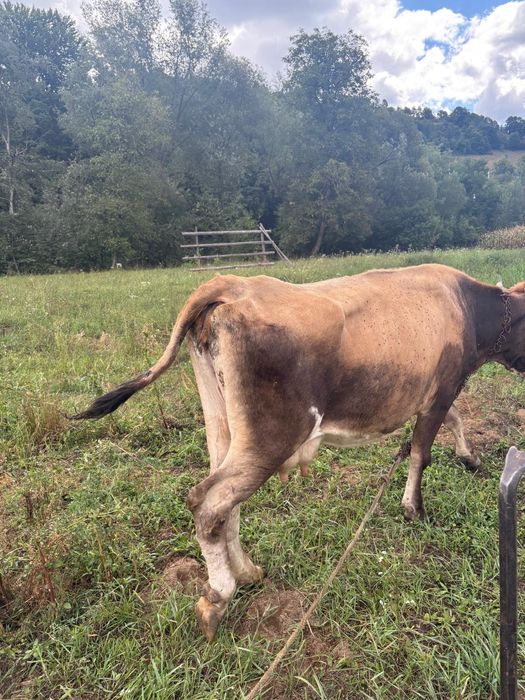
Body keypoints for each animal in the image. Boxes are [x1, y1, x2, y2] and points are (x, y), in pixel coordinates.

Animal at [73, 263, 525, 641]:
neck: (470, 306)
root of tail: (232, 284)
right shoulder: (442, 389)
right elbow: (422, 451)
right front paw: (414, 507)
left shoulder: (436, 395)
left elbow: (455, 422)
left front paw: (468, 457)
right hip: (272, 435)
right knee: (208, 502)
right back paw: (218, 597)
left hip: (225, 426)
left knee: (226, 505)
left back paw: (247, 572)